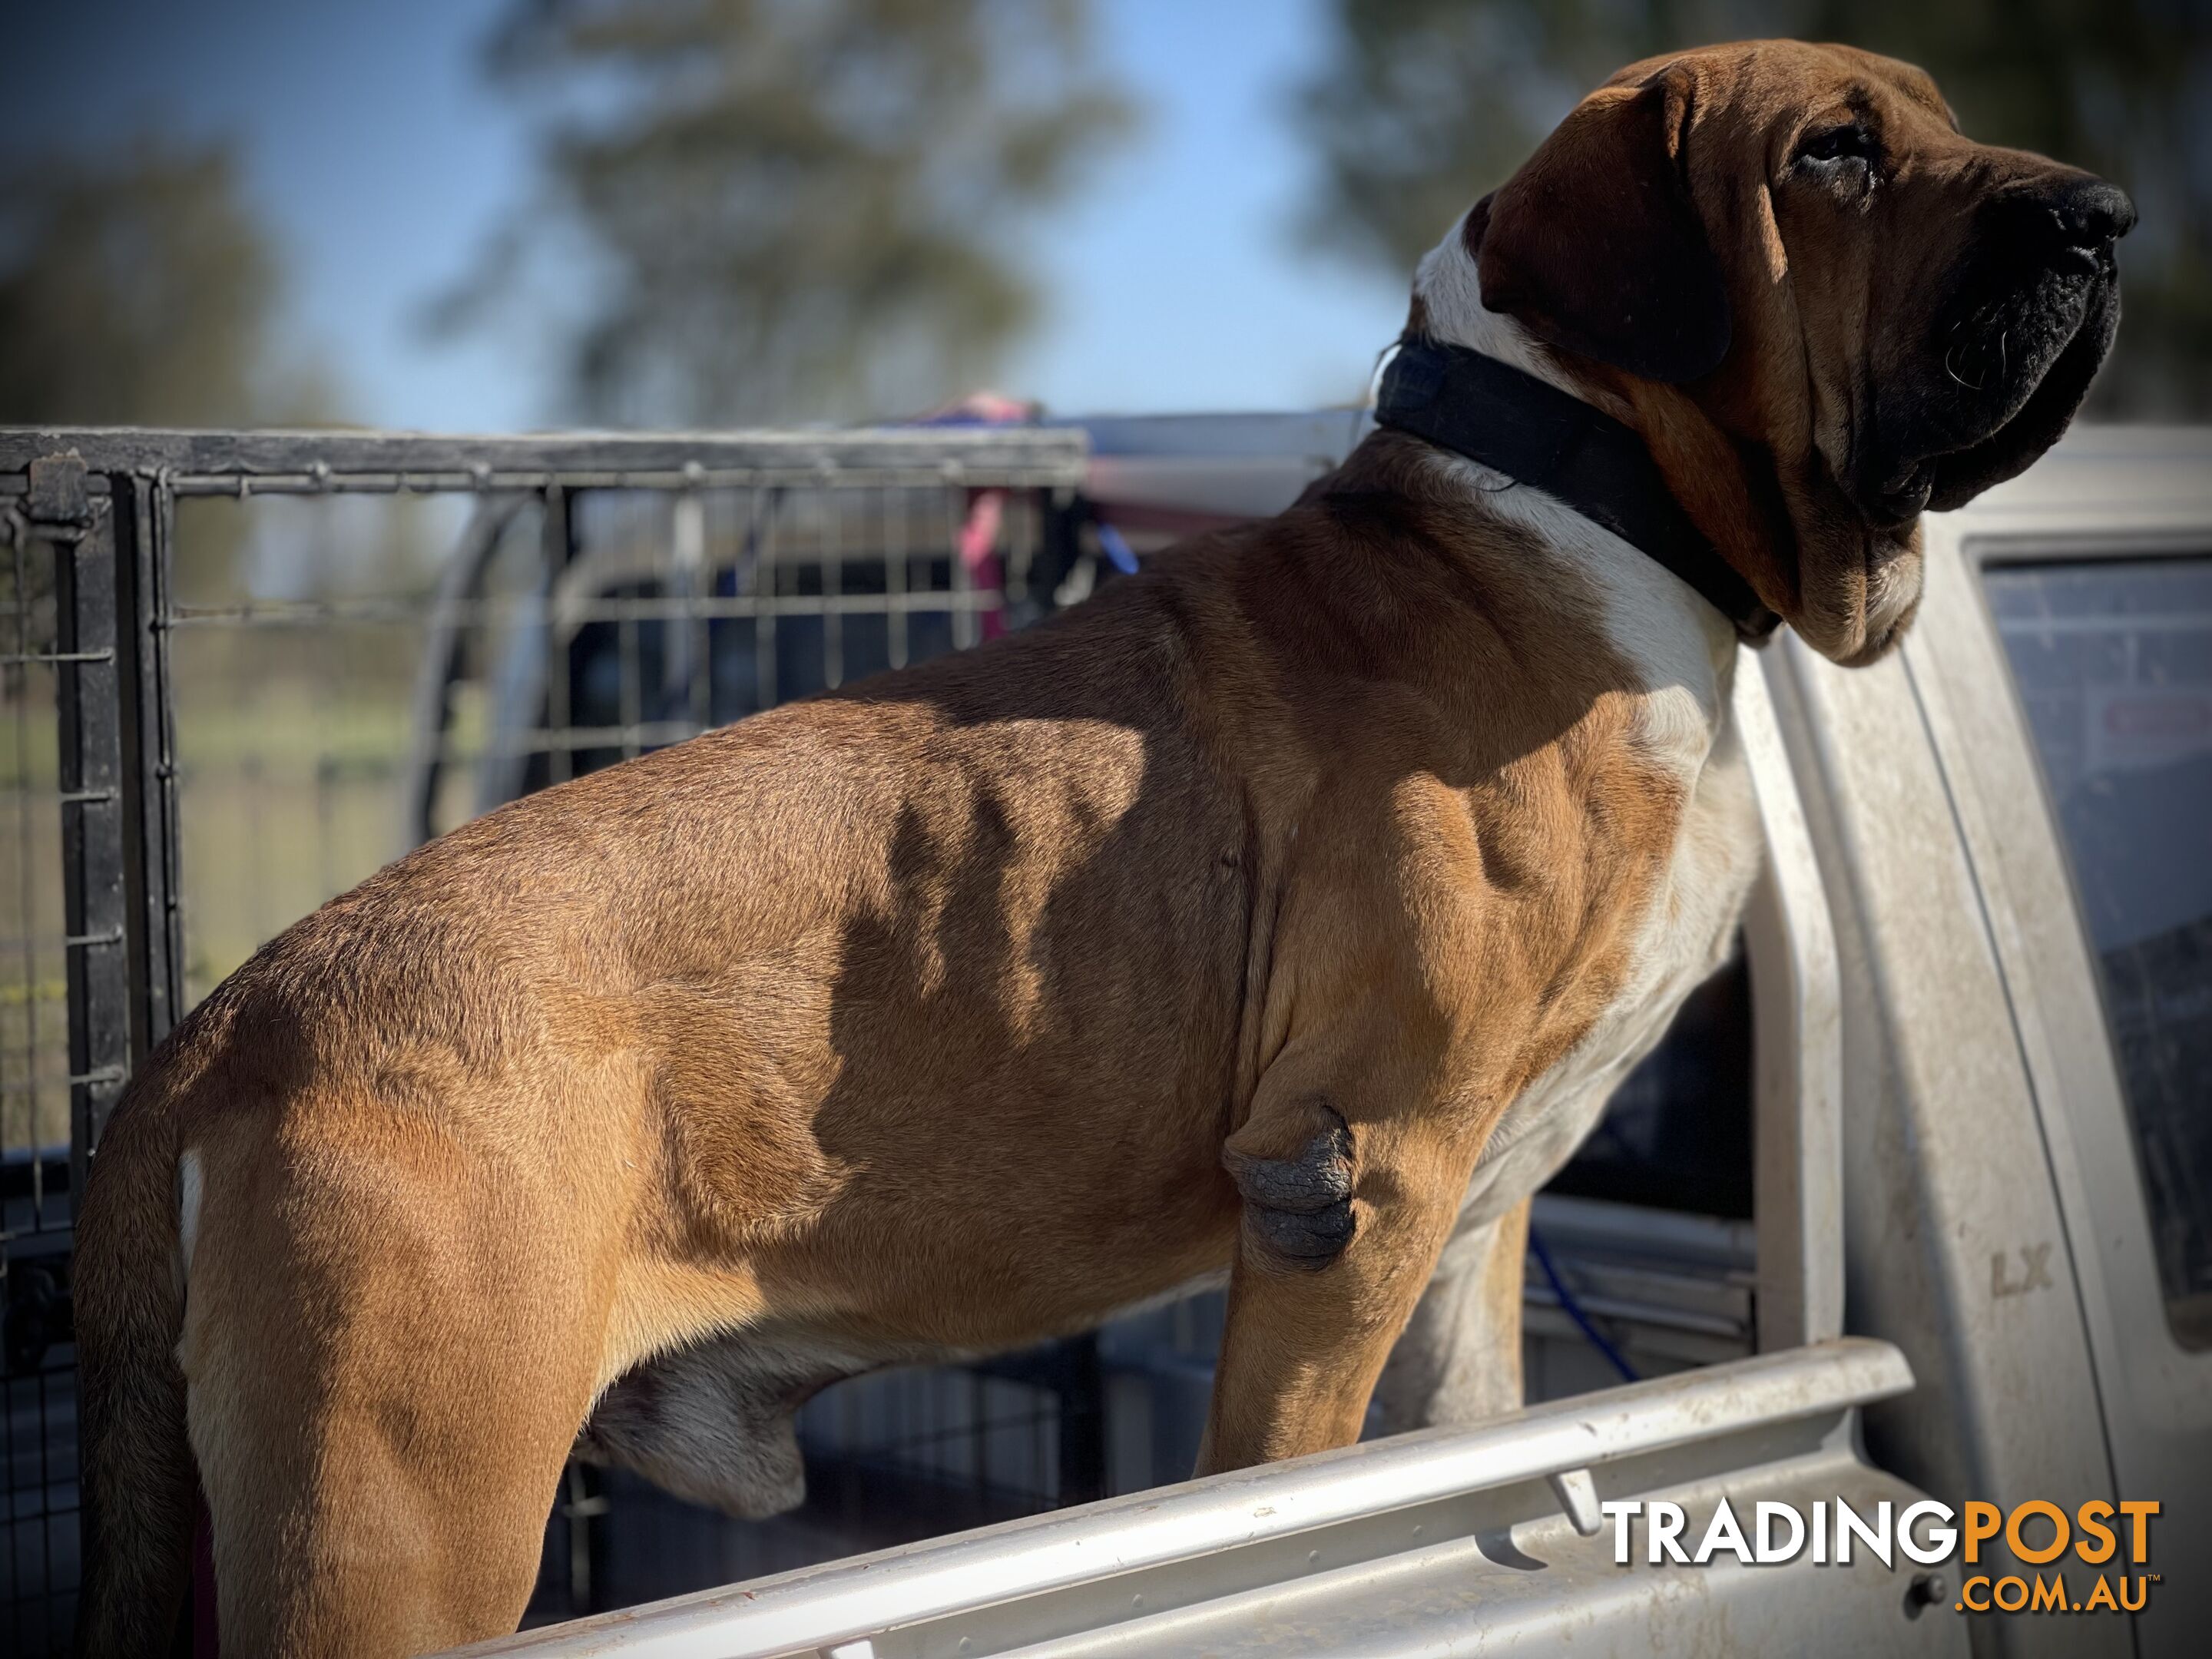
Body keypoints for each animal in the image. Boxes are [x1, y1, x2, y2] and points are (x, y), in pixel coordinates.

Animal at [78, 38, 2132, 1659]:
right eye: (1834, 154)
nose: (2106, 213)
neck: (1572, 505)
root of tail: (226, 1026)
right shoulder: (1349, 1184)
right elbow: (1288, 1465)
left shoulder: (1472, 1225)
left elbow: (1465, 1414)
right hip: (398, 1526)